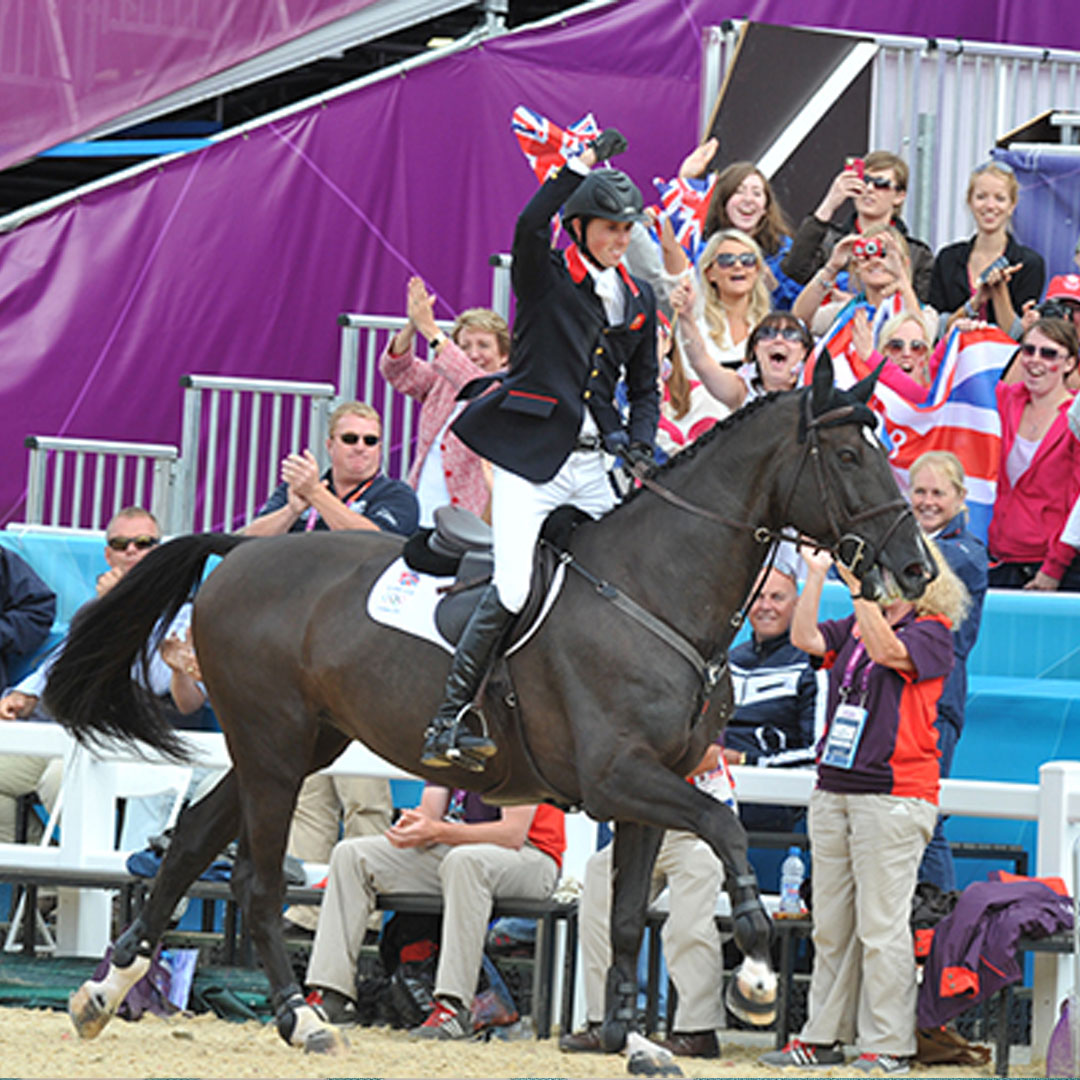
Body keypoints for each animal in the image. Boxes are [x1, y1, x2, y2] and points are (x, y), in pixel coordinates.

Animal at [46, 354, 933, 1054]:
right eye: (849, 454)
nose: (918, 569)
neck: (655, 593)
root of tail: (242, 552)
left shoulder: (649, 790)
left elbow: (628, 912)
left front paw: (630, 1039)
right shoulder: (619, 776)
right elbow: (724, 827)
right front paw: (751, 966)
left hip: (296, 745)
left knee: (195, 840)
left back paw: (102, 992)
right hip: (273, 744)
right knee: (253, 882)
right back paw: (300, 1018)